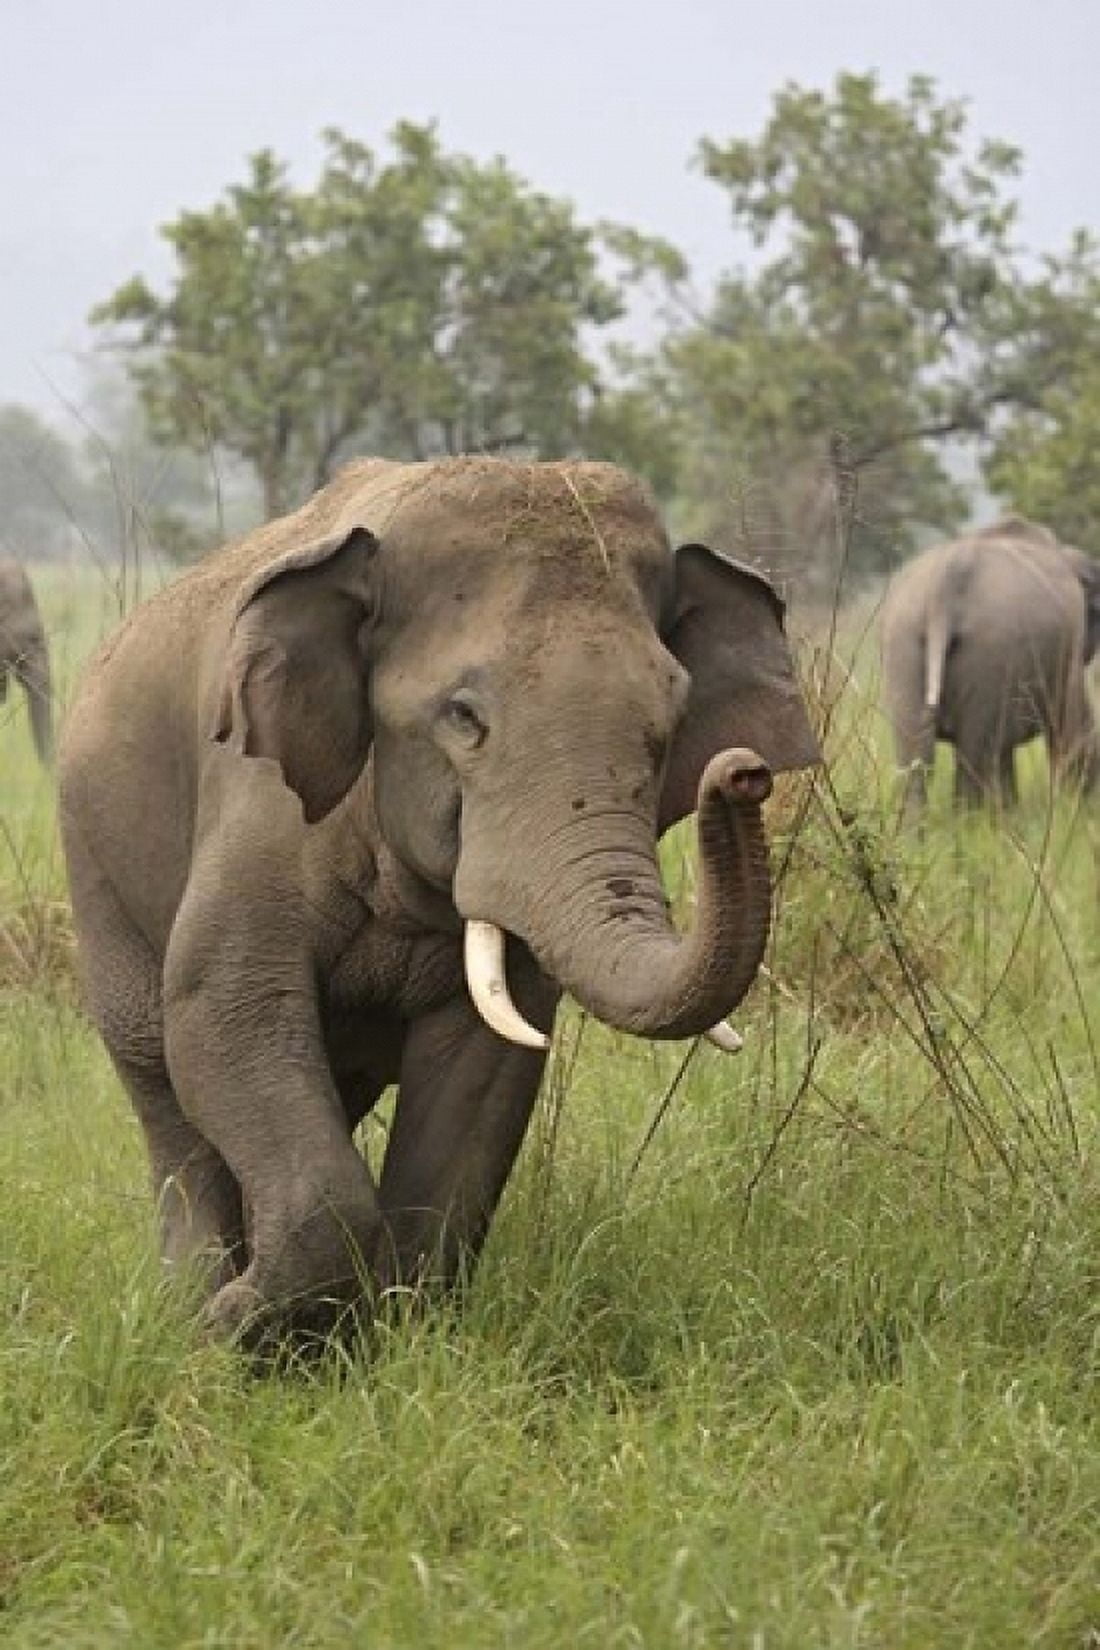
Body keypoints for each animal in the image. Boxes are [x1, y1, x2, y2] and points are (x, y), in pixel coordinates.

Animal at [59, 457, 819, 1344]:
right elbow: (225, 1010)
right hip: (95, 869)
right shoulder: (258, 805)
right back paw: (190, 1305)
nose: (744, 773)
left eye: (669, 725)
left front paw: (388, 1339)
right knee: (163, 1084)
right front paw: (233, 1333)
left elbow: (481, 1069)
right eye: (463, 717)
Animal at [879, 517, 1100, 812]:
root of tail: (947, 582)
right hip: (991, 651)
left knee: (917, 756)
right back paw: (972, 820)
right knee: (975, 755)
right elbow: (1076, 731)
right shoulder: (1069, 646)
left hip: (903, 640)